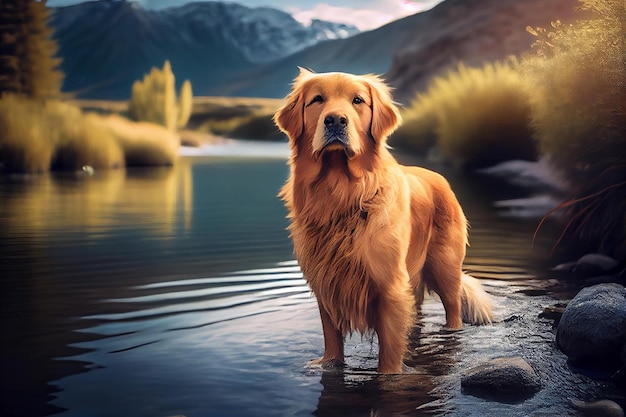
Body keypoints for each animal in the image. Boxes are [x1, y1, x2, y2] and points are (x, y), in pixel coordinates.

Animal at [274, 69, 492, 374]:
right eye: (317, 100)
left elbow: (389, 353)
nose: (335, 120)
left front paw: (389, 375)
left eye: (357, 101)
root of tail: (440, 178)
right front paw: (328, 363)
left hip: (445, 268)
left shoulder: (389, 286)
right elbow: (332, 338)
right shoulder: (325, 282)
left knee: (453, 311)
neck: (341, 195)